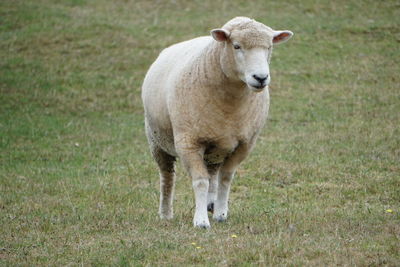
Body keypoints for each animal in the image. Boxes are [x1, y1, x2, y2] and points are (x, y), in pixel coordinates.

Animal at [142, 16, 292, 228]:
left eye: (269, 47)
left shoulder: (244, 144)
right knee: (167, 176)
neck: (231, 105)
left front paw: (220, 213)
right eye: (236, 46)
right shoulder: (189, 143)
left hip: (215, 147)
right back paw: (165, 213)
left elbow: (225, 179)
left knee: (212, 174)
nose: (261, 78)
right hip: (156, 140)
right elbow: (200, 181)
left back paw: (210, 204)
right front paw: (201, 221)